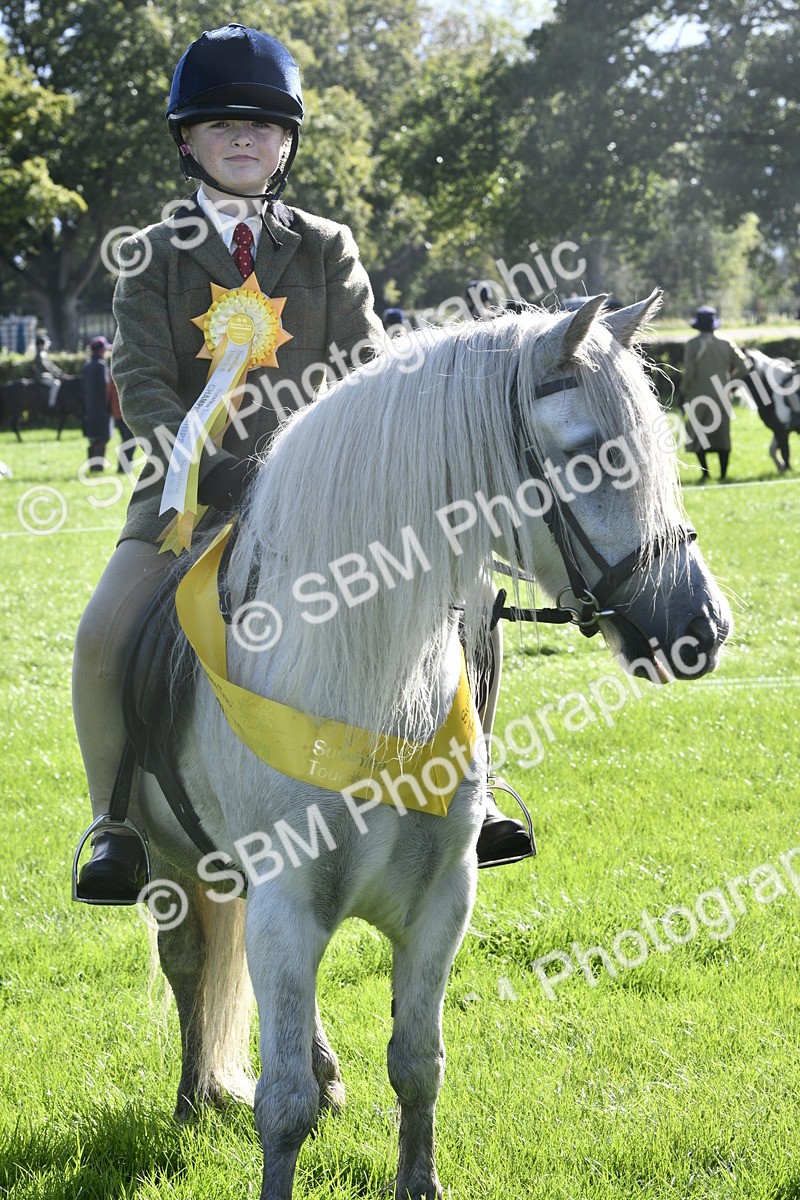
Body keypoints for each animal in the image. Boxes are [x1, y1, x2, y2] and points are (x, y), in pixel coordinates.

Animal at [97, 292, 731, 1200]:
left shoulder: (440, 902)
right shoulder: (288, 907)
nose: (701, 627)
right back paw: (191, 1099)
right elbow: (281, 1103)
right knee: (189, 963)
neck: (365, 682)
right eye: (589, 455)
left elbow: (417, 1066)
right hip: (172, 866)